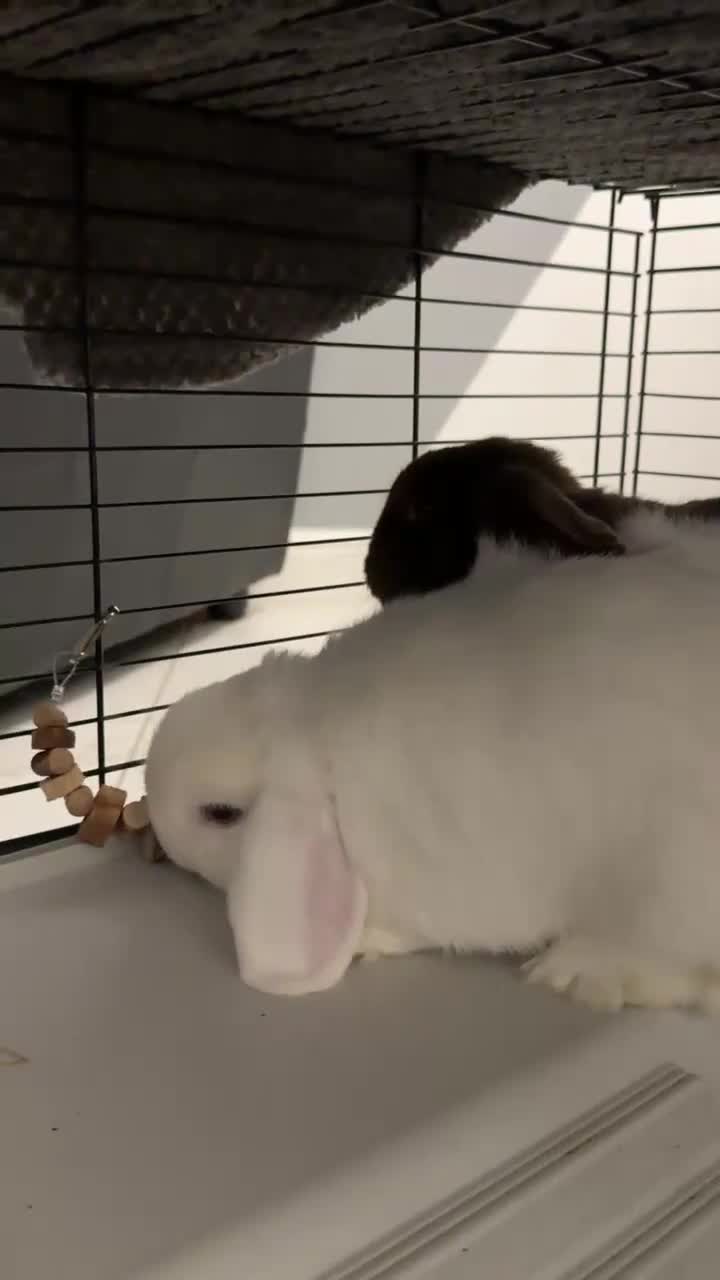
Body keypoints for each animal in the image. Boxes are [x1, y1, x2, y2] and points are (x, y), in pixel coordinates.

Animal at [146, 504, 720, 1013]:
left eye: (221, 814)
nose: (151, 804)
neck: (318, 738)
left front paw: (366, 940)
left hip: (671, 879)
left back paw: (574, 970)